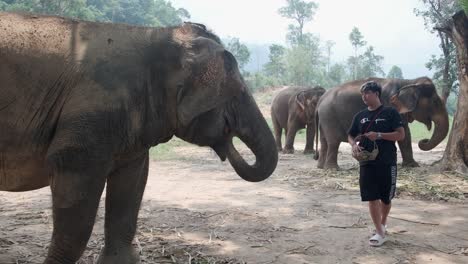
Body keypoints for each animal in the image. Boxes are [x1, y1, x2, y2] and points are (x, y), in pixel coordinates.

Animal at [0, 12, 278, 264]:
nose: (228, 143)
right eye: (238, 92)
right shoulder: (92, 116)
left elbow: (131, 185)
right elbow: (76, 188)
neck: (160, 35)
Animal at [314, 77, 450, 170]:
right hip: (330, 116)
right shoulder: (392, 105)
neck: (409, 82)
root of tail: (320, 100)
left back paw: (321, 167)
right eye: (435, 102)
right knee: (333, 142)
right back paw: (332, 169)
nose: (423, 140)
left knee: (324, 141)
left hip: (324, 118)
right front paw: (413, 166)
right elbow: (404, 133)